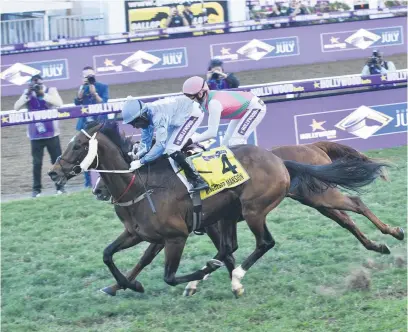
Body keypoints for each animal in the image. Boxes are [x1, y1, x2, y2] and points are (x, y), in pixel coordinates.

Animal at [48, 120, 388, 296]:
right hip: (309, 200)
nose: (53, 173)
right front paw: (122, 285)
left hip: (264, 207)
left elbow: (174, 273)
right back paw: (380, 242)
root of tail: (283, 159)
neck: (140, 186)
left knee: (270, 240)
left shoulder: (177, 236)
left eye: (79, 146)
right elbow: (111, 255)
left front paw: (204, 275)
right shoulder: (143, 234)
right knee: (345, 218)